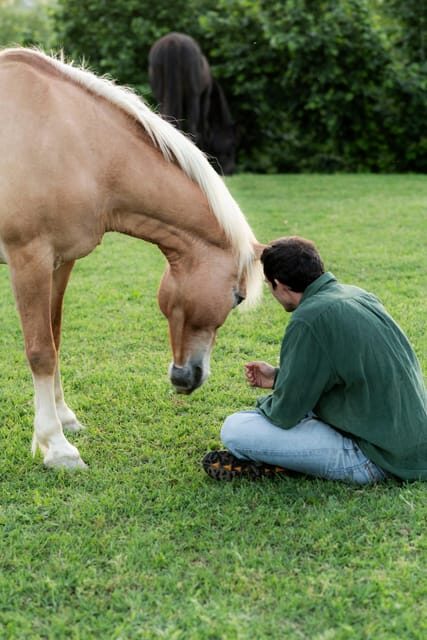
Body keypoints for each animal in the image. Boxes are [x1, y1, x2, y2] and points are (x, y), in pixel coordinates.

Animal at [0, 48, 263, 470]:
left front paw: (65, 418)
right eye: (237, 297)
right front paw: (56, 446)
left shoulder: (60, 263)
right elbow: (40, 351)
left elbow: (55, 339)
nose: (188, 378)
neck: (72, 142)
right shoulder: (30, 259)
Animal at [148, 32, 236, 175]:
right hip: (193, 96)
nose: (230, 170)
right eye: (232, 144)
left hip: (161, 94)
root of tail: (173, 41)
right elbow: (203, 126)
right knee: (194, 128)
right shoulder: (204, 98)